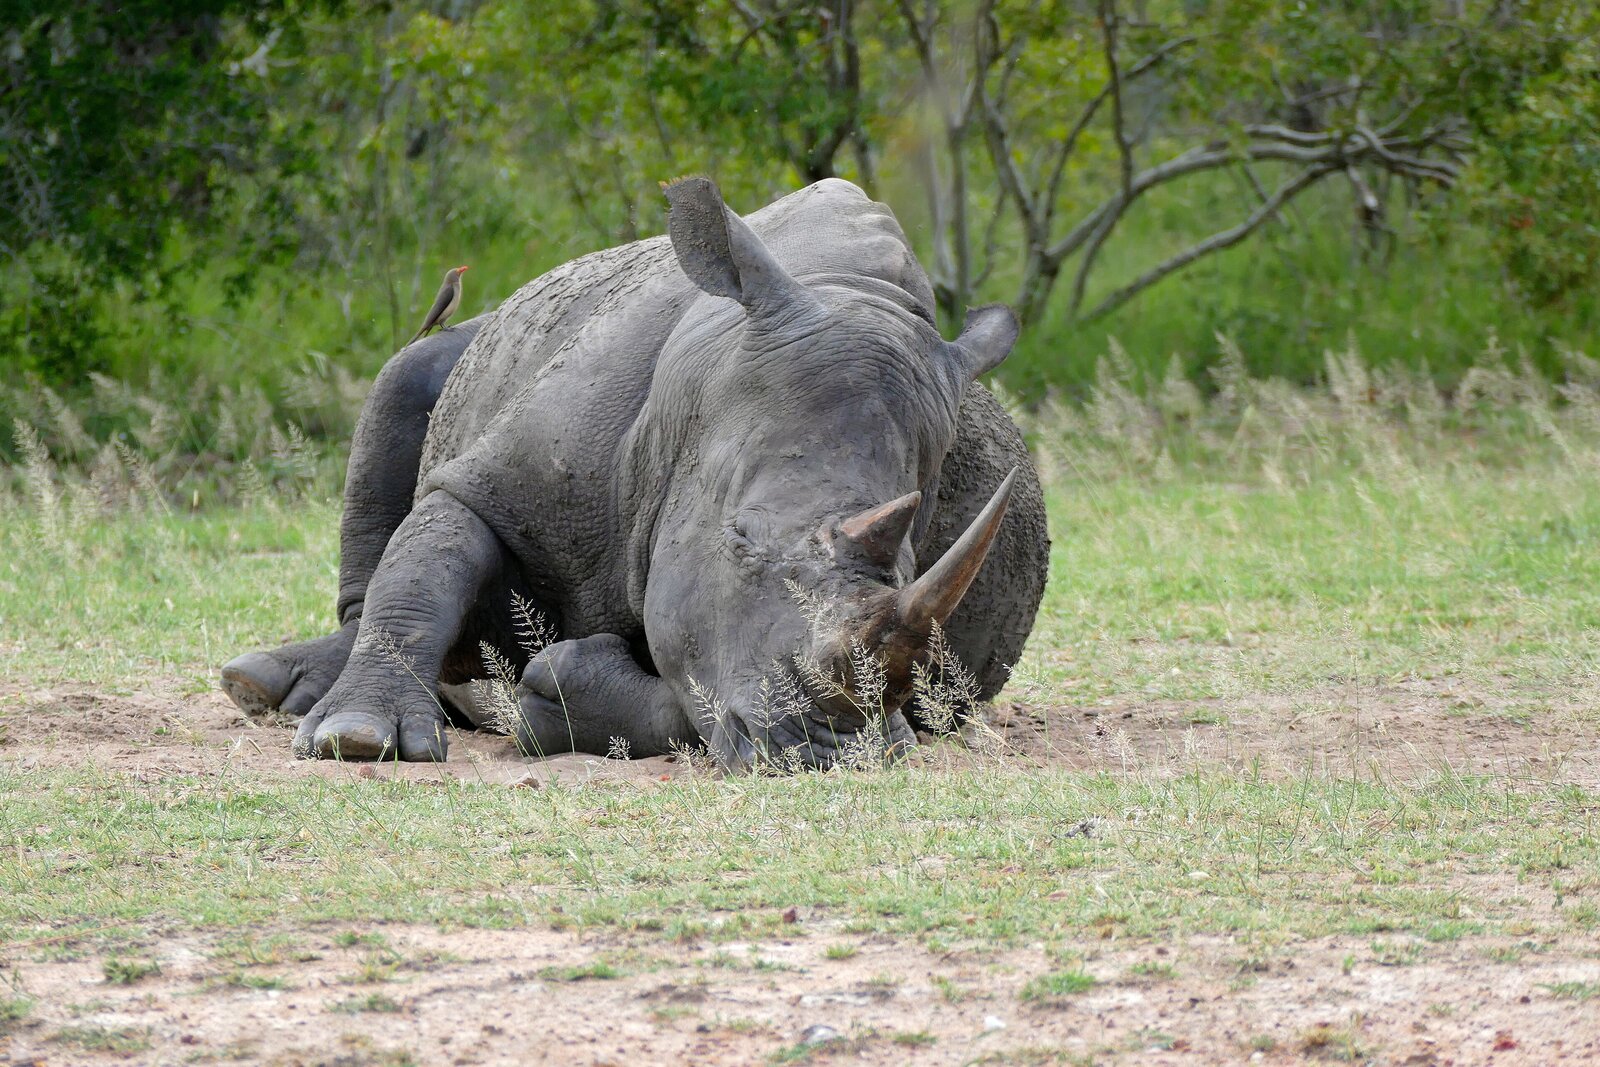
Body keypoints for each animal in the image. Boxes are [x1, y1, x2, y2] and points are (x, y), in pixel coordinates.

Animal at [219, 177, 1049, 770]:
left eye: (910, 565)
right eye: (739, 537)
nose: (838, 752)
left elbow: (688, 684)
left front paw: (556, 691)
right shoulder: (499, 481)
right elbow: (426, 565)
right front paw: (358, 739)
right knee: (403, 381)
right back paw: (270, 686)